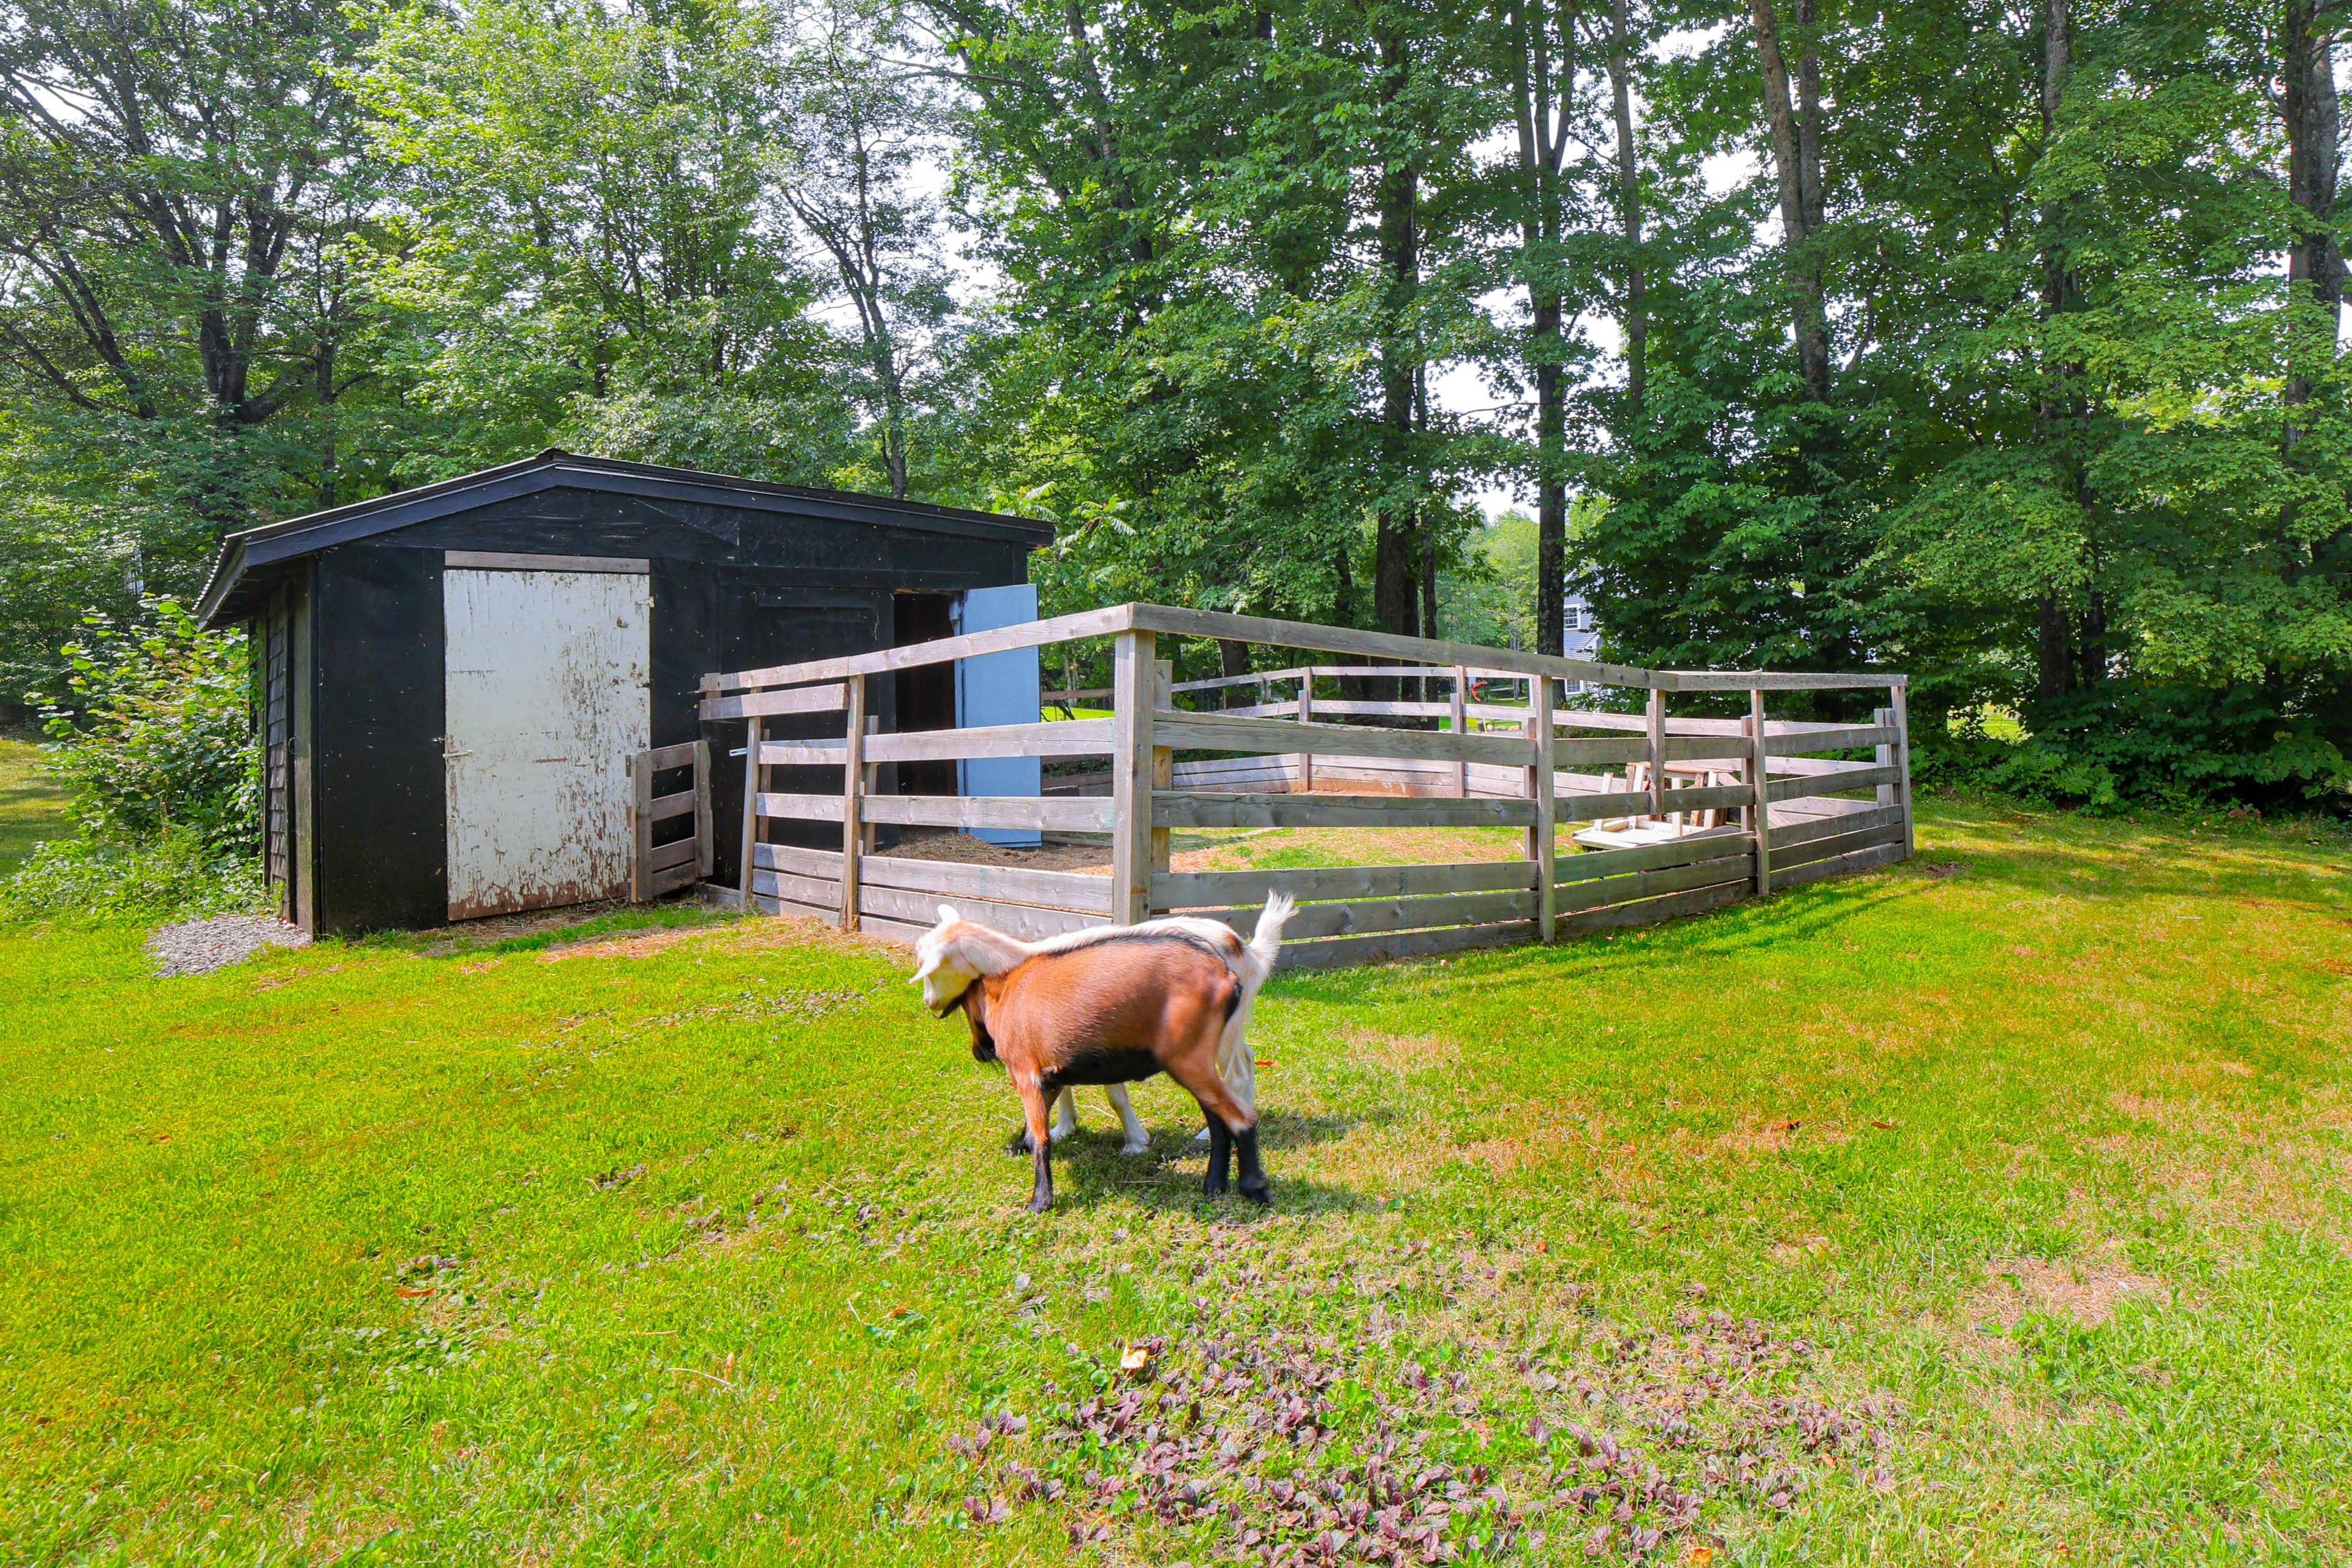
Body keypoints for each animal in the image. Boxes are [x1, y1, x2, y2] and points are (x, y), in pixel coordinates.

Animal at [912, 893, 1289, 1213]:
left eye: (932, 971)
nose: (929, 1003)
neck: (1011, 979)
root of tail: (1244, 955)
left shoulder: (1033, 1067)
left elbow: (1079, 1114)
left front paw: (1042, 1198)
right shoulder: (1056, 1064)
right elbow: (1056, 1102)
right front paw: (1053, 1132)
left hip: (1199, 1053)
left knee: (1238, 1094)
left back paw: (1251, 1184)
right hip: (1203, 1052)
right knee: (1229, 1094)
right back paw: (1214, 1182)